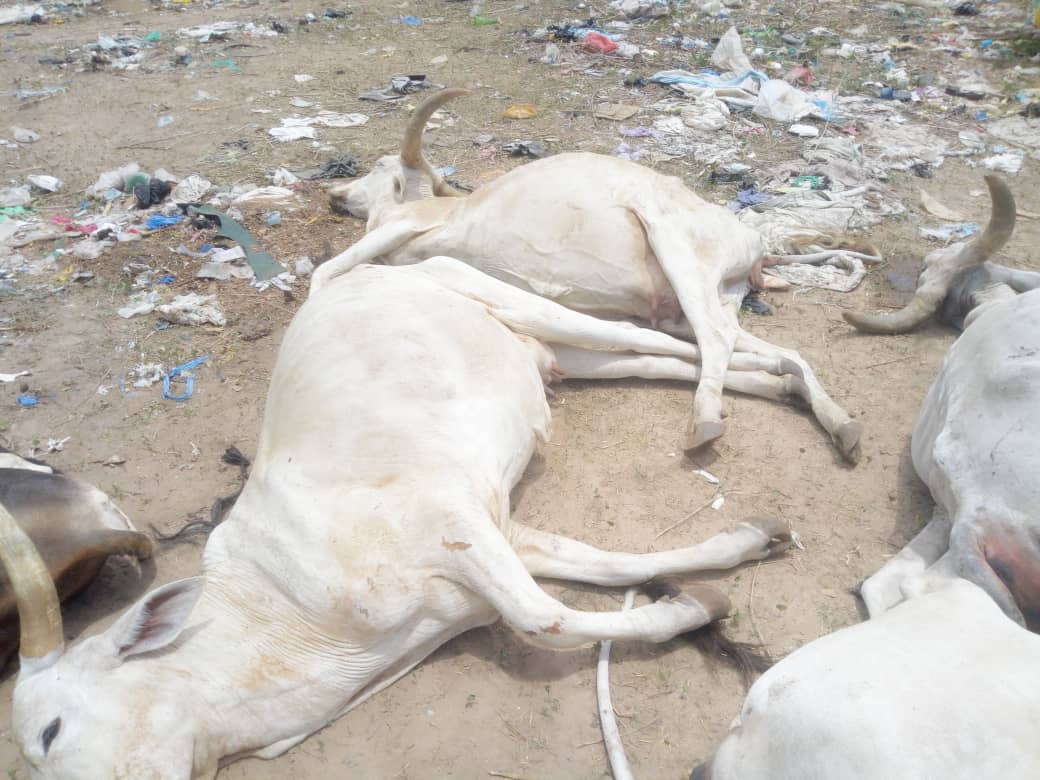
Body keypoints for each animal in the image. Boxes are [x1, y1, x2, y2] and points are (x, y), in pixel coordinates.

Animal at [315, 89, 863, 464]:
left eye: (380, 166)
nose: (335, 193)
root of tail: (756, 246)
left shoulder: (407, 227)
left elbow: (328, 271)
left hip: (678, 248)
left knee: (716, 337)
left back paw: (705, 421)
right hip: (701, 301)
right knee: (774, 350)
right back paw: (841, 425)